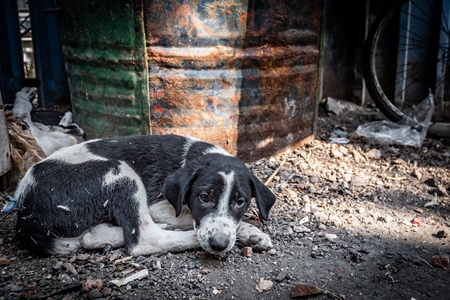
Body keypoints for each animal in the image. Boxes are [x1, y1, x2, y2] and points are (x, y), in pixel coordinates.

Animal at [15, 135, 276, 255]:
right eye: (204, 198)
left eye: (240, 202)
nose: (219, 245)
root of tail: (25, 209)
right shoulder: (158, 205)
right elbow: (195, 219)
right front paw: (244, 233)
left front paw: (252, 233)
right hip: (119, 171)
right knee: (143, 239)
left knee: (90, 237)